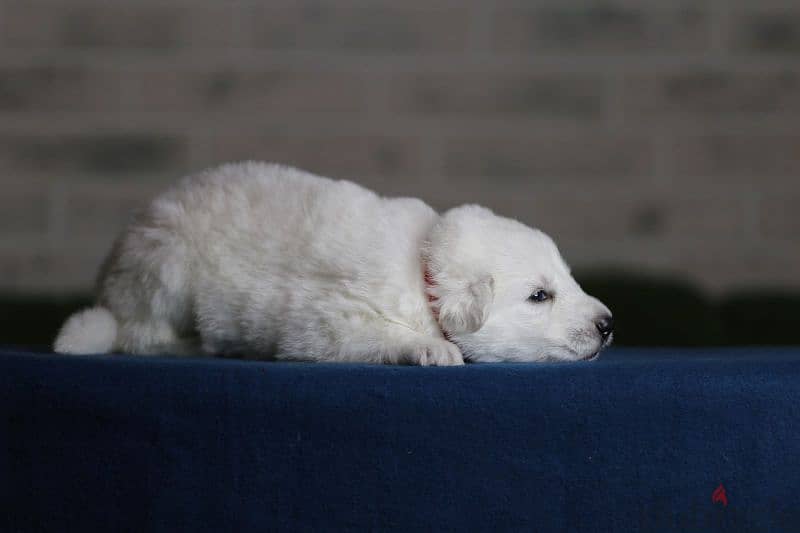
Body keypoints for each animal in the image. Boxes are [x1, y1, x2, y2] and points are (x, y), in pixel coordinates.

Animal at [54, 162, 612, 364]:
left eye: (568, 280)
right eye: (539, 296)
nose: (608, 324)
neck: (423, 266)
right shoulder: (324, 321)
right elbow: (377, 335)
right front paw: (433, 349)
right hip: (166, 266)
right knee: (138, 335)